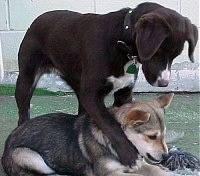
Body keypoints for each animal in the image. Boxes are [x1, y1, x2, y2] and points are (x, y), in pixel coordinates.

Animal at [1, 93, 173, 175]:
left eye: (164, 134)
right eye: (152, 136)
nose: (166, 156)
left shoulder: (136, 163)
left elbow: (156, 170)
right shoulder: (107, 173)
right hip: (28, 157)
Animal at [14, 2, 198, 166]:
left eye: (175, 56)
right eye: (158, 52)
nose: (164, 83)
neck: (122, 41)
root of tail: (39, 18)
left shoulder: (124, 93)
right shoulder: (91, 97)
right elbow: (110, 124)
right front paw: (128, 153)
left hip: (78, 85)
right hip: (26, 78)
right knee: (23, 111)